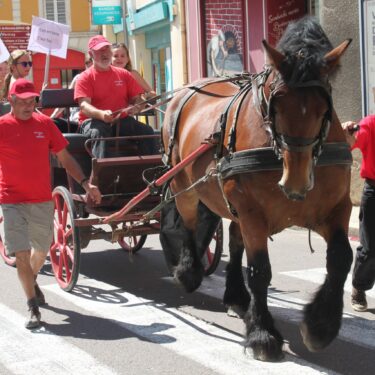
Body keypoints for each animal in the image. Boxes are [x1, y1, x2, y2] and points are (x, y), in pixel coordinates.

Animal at [160, 16, 354, 362]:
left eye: (325, 109)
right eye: (276, 105)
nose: (296, 182)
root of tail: (184, 92)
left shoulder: (336, 208)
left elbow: (341, 258)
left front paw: (321, 325)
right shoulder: (253, 213)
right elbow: (260, 270)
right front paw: (263, 334)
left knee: (235, 239)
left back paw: (236, 295)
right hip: (186, 186)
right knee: (189, 225)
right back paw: (189, 272)